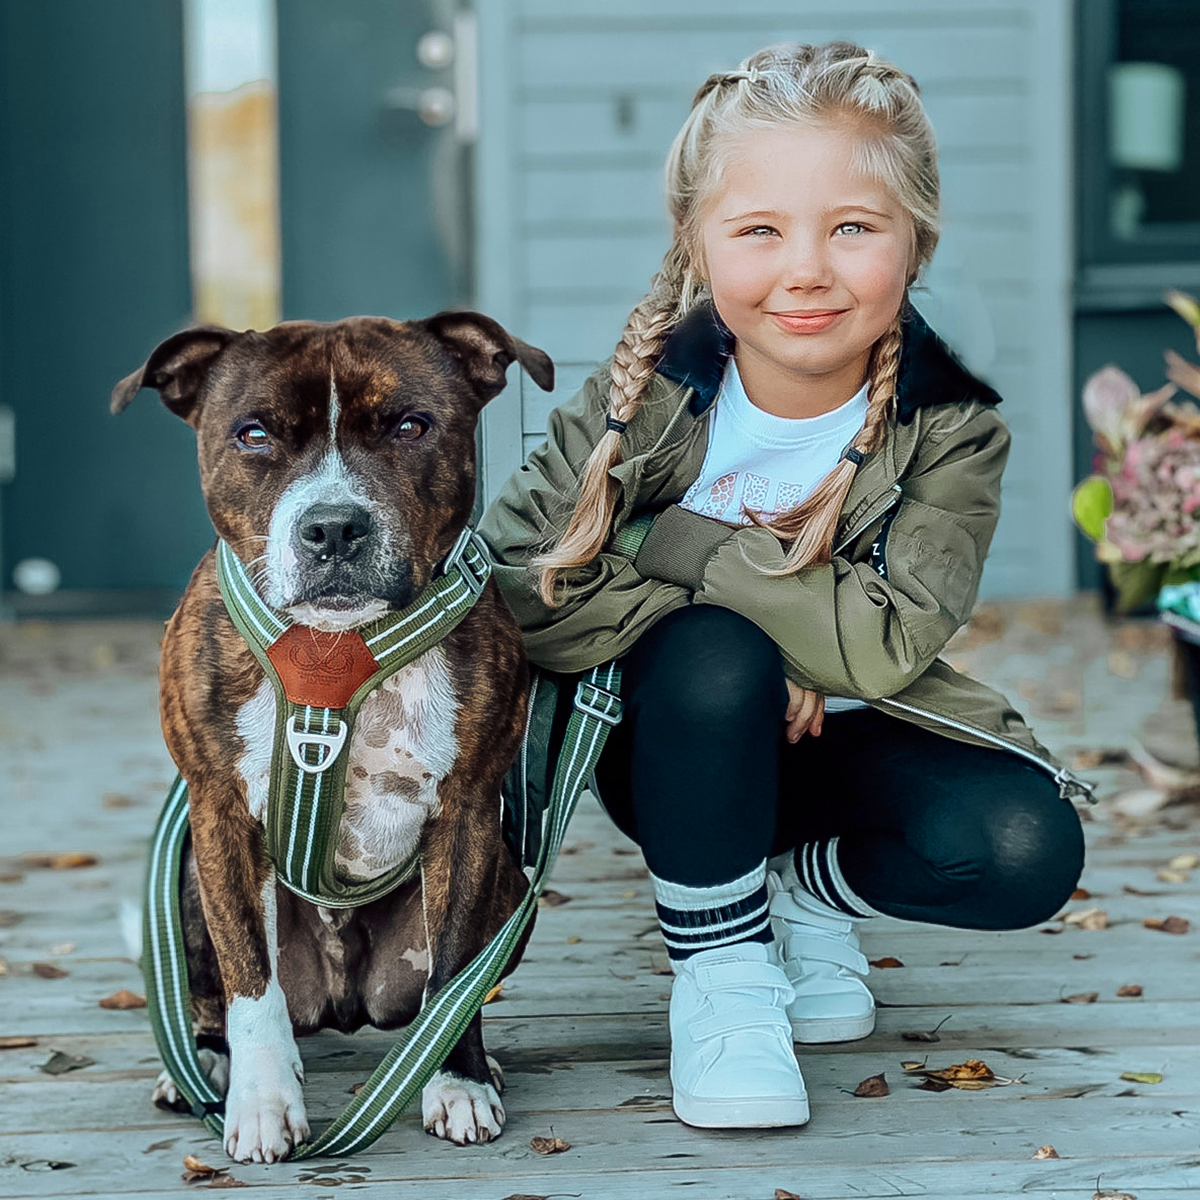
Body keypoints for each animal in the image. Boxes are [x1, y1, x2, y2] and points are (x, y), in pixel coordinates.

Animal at [112, 312, 552, 1161]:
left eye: (411, 426)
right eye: (252, 435)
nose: (334, 527)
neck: (335, 650)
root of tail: (344, 1000)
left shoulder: (470, 816)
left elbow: (457, 971)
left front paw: (458, 1080)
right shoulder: (219, 816)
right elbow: (250, 979)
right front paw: (261, 1105)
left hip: (514, 884)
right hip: (182, 884)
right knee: (219, 994)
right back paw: (203, 1067)